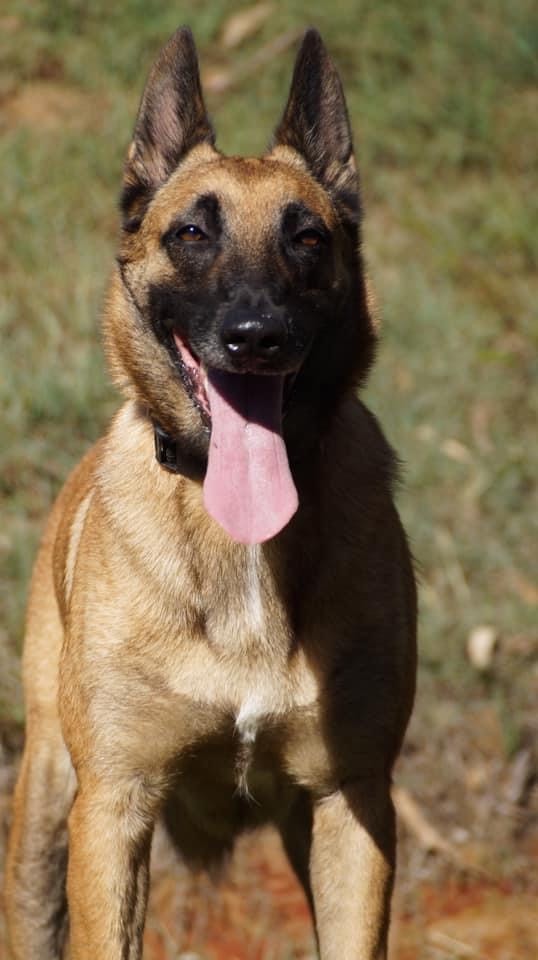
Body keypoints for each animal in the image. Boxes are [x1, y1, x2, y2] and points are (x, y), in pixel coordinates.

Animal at [4, 26, 414, 956]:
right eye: (192, 232)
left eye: (309, 239)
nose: (255, 336)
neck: (241, 550)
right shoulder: (112, 809)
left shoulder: (351, 802)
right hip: (45, 805)